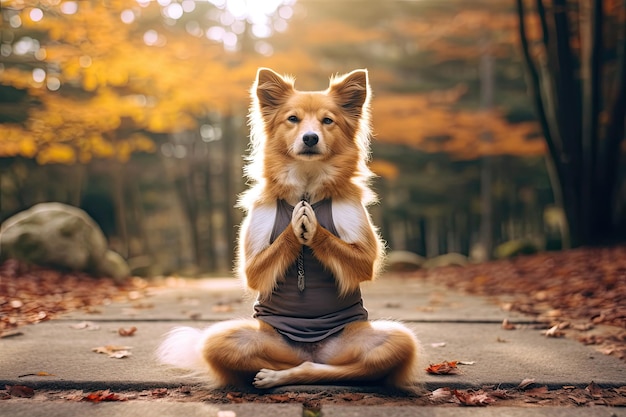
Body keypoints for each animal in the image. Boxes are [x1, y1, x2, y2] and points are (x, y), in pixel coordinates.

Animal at [156, 66, 420, 388]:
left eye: (327, 121)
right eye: (292, 119)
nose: (310, 138)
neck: (307, 183)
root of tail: (311, 351)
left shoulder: (361, 250)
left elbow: (358, 259)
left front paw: (312, 226)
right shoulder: (255, 254)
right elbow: (260, 264)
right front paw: (297, 225)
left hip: (391, 339)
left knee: (343, 367)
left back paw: (290, 374)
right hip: (227, 338)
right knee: (249, 351)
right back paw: (273, 376)